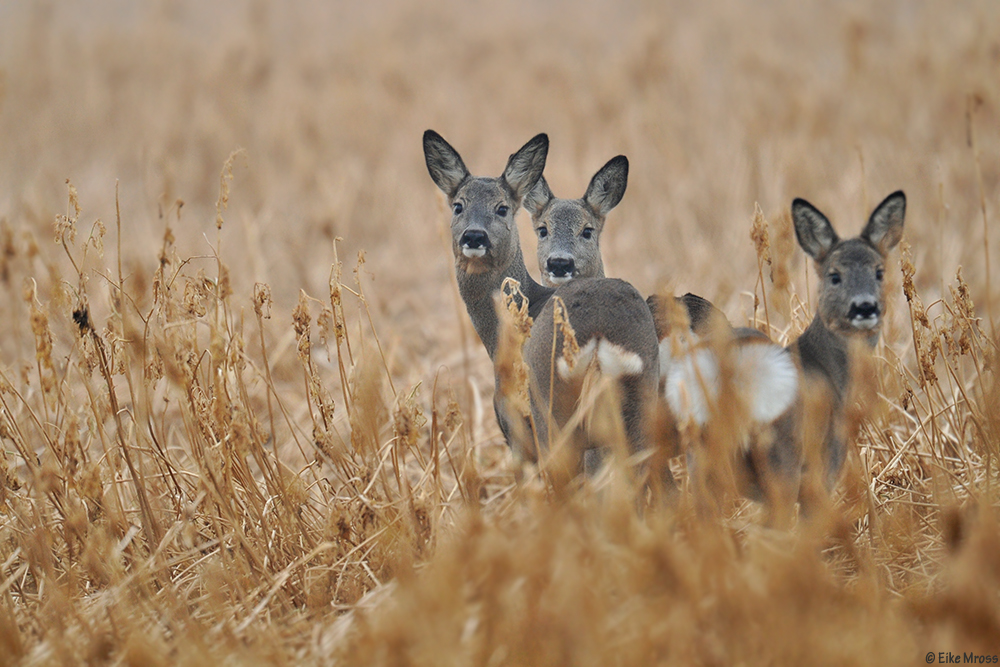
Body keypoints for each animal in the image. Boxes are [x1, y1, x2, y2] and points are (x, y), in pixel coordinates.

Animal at [424, 132, 664, 474]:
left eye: (502, 208)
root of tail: (600, 338)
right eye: (458, 206)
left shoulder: (514, 427)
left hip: (552, 416)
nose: (474, 236)